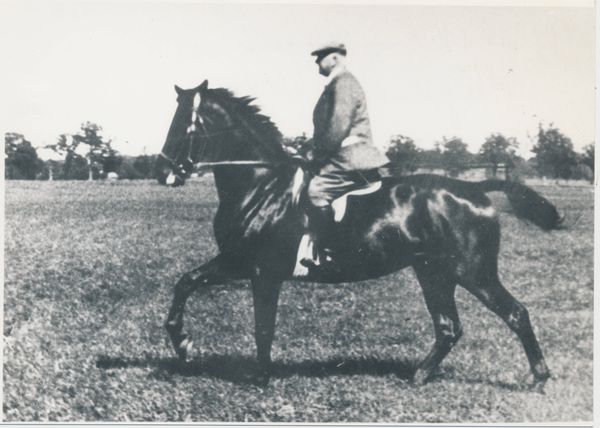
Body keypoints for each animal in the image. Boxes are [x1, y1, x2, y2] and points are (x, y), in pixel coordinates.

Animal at [161, 79, 564, 388]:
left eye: (184, 124)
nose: (167, 172)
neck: (262, 185)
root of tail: (475, 189)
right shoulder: (236, 262)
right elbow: (185, 282)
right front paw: (184, 346)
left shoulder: (263, 272)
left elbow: (264, 326)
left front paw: (260, 378)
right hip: (434, 273)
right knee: (449, 326)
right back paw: (419, 376)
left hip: (473, 272)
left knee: (515, 313)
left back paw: (539, 377)